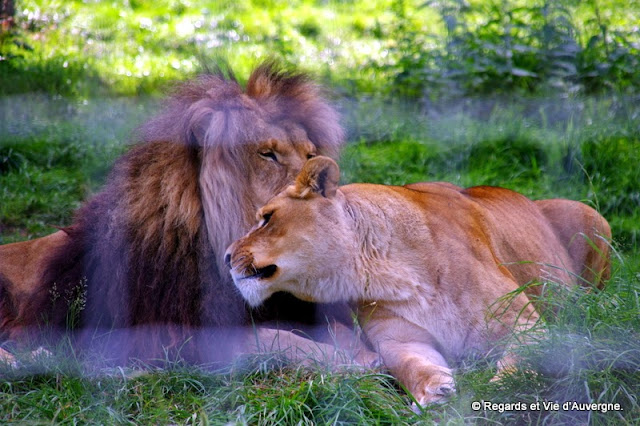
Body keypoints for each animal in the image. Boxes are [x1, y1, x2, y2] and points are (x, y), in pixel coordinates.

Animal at [0, 63, 370, 366]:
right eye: (268, 154)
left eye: (309, 154)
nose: (328, 185)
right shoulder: (162, 334)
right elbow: (265, 339)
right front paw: (344, 362)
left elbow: (343, 332)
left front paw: (361, 352)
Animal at [225, 156, 608, 406]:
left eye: (267, 218)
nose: (227, 257)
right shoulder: (401, 339)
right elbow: (414, 366)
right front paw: (433, 393)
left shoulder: (529, 326)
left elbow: (517, 371)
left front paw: (491, 393)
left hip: (592, 217)